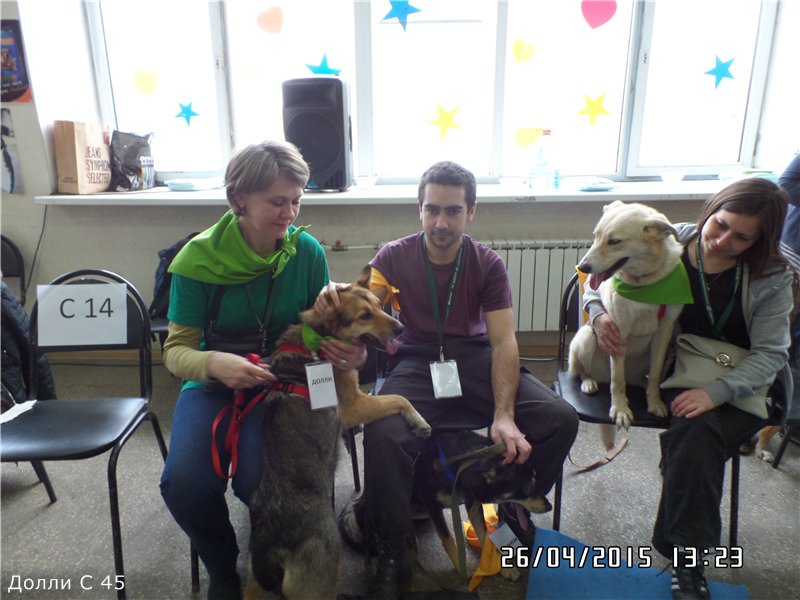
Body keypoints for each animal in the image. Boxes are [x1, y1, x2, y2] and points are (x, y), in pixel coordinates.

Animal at [244, 268, 431, 600]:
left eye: (379, 305)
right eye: (364, 315)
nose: (400, 328)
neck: (319, 340)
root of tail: (274, 553)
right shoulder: (355, 406)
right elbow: (399, 398)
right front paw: (418, 421)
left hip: (251, 583)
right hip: (322, 584)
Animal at [412, 430, 549, 582]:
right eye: (527, 489)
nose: (549, 507)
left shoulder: (472, 503)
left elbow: (485, 535)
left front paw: (502, 566)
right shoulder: (432, 506)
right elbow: (448, 539)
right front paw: (461, 566)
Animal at [568, 200, 685, 436]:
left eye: (614, 241)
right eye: (595, 236)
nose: (583, 267)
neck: (647, 283)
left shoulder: (665, 329)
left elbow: (656, 372)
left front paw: (655, 402)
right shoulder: (618, 329)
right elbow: (617, 380)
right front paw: (620, 409)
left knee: (642, 377)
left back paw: (644, 384)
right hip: (587, 337)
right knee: (584, 371)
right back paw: (589, 382)